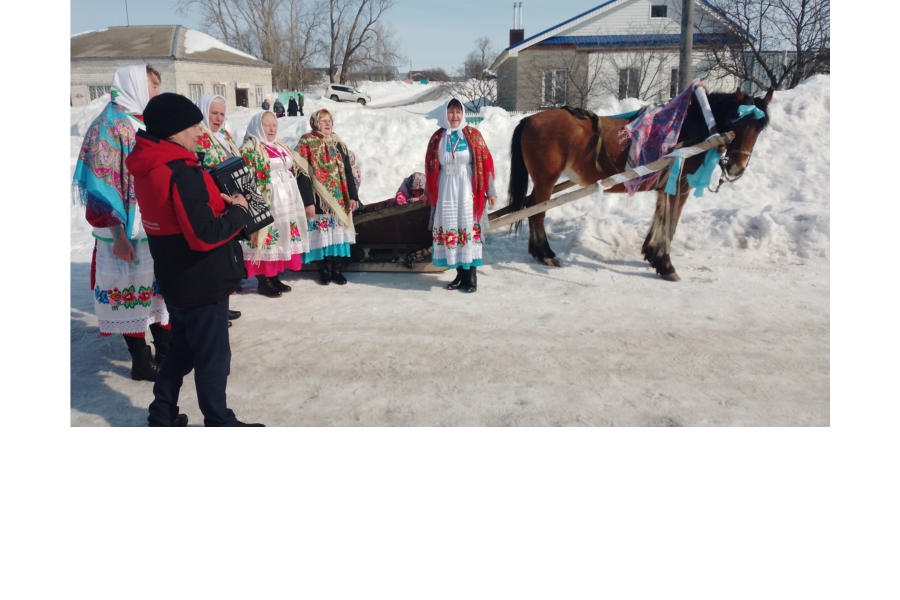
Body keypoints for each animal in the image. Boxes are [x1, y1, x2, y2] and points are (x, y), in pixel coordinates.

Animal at [510, 88, 768, 280]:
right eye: (737, 123)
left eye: (759, 128)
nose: (737, 168)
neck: (691, 127)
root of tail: (529, 119)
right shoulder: (680, 186)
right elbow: (670, 224)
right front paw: (666, 264)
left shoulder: (666, 186)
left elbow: (661, 218)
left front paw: (652, 255)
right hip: (546, 179)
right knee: (537, 213)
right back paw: (545, 254)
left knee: (532, 207)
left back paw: (538, 252)